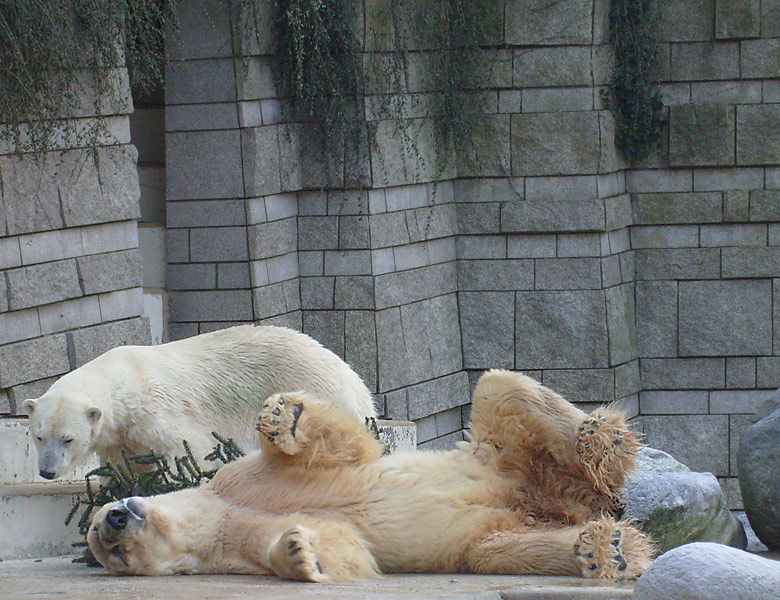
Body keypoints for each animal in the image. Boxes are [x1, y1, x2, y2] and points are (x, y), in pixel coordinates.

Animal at [22, 326, 376, 480]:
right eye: (39, 436)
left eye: (67, 438)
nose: (47, 472)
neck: (123, 382)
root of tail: (354, 380)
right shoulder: (119, 437)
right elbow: (127, 467)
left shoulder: (158, 412)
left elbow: (187, 451)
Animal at [88, 370, 656, 580]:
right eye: (114, 554)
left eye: (97, 526)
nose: (114, 518)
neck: (213, 514)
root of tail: (566, 499)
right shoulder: (232, 545)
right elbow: (339, 547)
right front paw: (299, 551)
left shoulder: (235, 480)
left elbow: (344, 447)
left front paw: (283, 417)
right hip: (499, 528)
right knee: (506, 550)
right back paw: (605, 548)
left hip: (502, 457)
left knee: (501, 390)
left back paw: (601, 438)